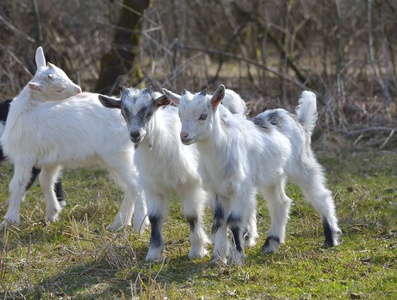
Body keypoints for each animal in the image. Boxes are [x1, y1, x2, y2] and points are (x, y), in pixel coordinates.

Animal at [0, 46, 148, 232]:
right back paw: (118, 224)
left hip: (117, 155)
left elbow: (16, 185)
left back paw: (139, 226)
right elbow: (46, 181)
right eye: (58, 89)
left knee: (136, 186)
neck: (28, 108)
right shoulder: (50, 159)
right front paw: (52, 214)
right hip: (116, 157)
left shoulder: (23, 158)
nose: (79, 90)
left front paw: (8, 221)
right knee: (128, 188)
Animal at [97, 86, 255, 260]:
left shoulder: (191, 185)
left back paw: (248, 238)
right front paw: (154, 252)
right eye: (124, 114)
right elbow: (154, 217)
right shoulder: (153, 187)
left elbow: (192, 215)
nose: (135, 134)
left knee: (248, 204)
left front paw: (197, 250)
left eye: (149, 113)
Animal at [168, 84, 340, 264]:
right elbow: (219, 220)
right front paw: (217, 258)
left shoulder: (240, 189)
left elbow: (234, 221)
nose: (184, 136)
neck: (221, 146)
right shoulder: (218, 189)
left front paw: (236, 260)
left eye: (203, 116)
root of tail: (300, 122)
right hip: (273, 176)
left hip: (301, 164)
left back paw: (331, 239)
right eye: (179, 115)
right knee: (281, 203)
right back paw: (271, 243)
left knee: (321, 195)